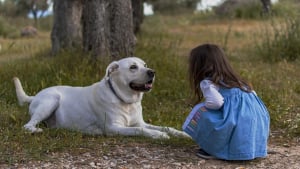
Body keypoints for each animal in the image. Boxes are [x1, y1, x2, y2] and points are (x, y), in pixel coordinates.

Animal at [13, 56, 190, 139]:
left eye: (145, 65)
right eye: (133, 67)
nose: (152, 72)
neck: (126, 101)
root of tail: (34, 96)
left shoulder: (141, 122)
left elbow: (166, 127)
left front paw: (182, 134)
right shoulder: (114, 128)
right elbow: (139, 130)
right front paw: (158, 135)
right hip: (51, 100)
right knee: (27, 126)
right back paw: (36, 130)